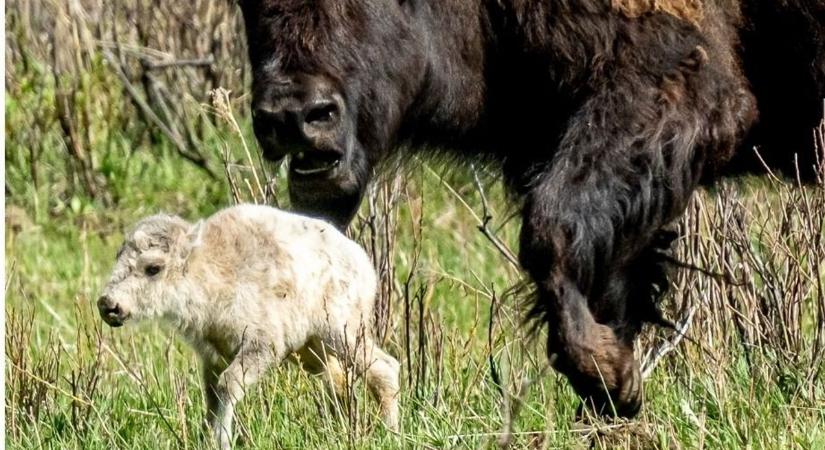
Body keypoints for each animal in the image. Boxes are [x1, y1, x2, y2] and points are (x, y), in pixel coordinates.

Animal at [98, 205, 400, 450]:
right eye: (118, 257)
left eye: (153, 268)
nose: (108, 304)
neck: (210, 268)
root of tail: (362, 261)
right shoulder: (213, 356)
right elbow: (212, 397)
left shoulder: (262, 345)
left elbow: (227, 386)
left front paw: (222, 441)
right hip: (312, 350)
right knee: (339, 381)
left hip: (342, 332)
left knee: (384, 368)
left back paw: (389, 432)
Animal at [238, 0, 824, 418]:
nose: (294, 116)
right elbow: (606, 277)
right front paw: (616, 390)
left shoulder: (670, 88)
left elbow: (551, 230)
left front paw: (607, 374)